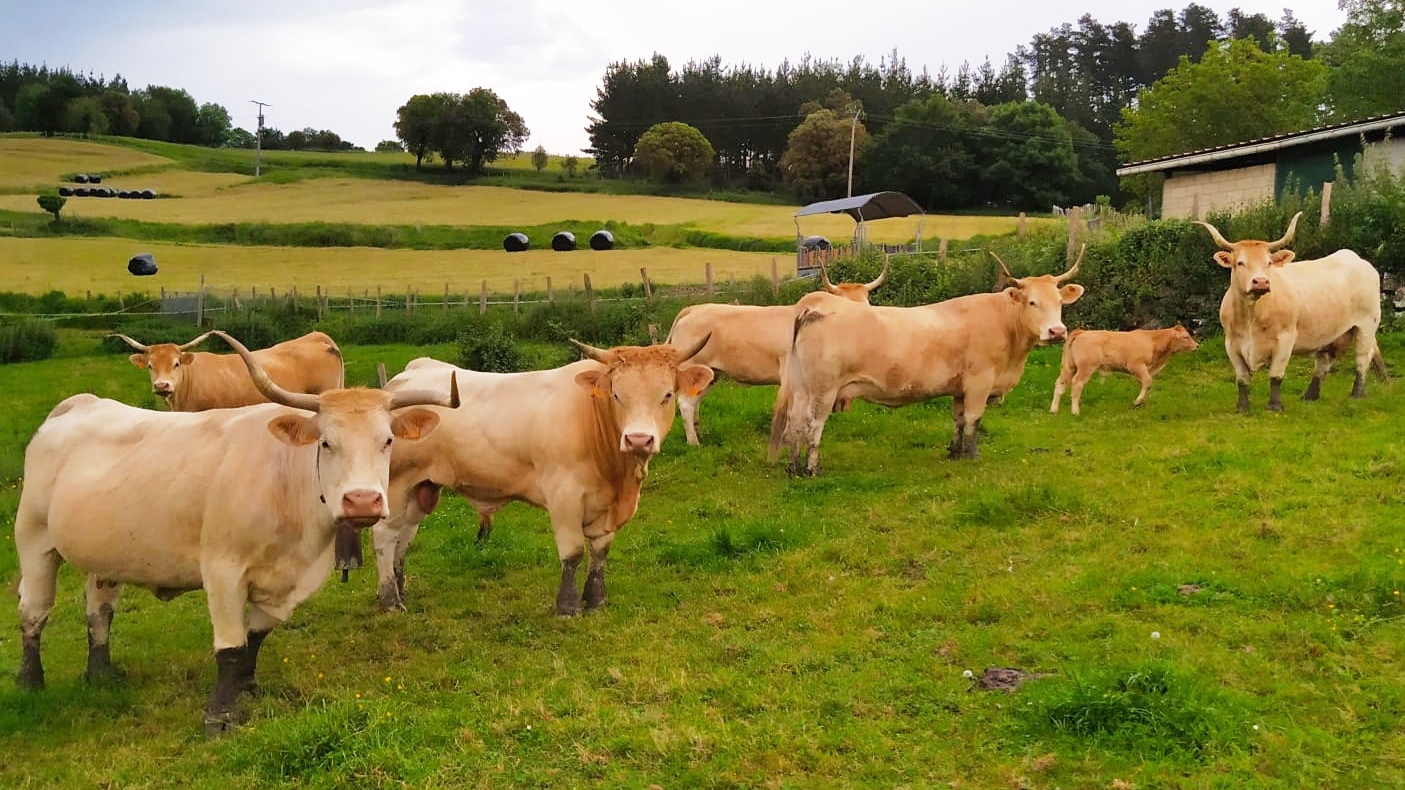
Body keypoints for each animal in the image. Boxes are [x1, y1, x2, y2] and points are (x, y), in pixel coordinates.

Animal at [372, 336, 714, 615]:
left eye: (667, 395)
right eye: (617, 395)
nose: (639, 440)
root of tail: (407, 376)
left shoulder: (607, 507)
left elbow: (600, 551)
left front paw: (596, 600)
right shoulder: (564, 496)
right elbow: (573, 552)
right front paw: (568, 606)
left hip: (421, 488)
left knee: (404, 535)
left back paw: (400, 589)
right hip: (395, 484)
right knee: (385, 536)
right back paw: (390, 600)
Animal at [665, 260, 886, 445]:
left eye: (866, 304)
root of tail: (693, 309)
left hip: (712, 374)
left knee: (694, 403)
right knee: (685, 404)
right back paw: (694, 443)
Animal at [770, 248, 1084, 474]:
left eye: (1059, 301)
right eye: (1032, 302)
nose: (1057, 332)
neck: (1005, 325)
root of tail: (814, 305)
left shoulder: (960, 389)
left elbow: (958, 420)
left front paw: (955, 453)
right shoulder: (979, 382)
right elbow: (974, 419)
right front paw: (973, 456)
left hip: (802, 388)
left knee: (794, 425)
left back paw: (793, 468)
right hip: (823, 390)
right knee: (813, 425)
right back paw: (812, 469)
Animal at [1049, 325, 1199, 415]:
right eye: (1186, 336)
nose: (1197, 345)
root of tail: (1082, 332)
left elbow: (1145, 384)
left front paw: (1141, 403)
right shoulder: (1136, 365)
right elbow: (1148, 381)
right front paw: (1138, 401)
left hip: (1070, 366)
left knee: (1060, 383)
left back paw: (1054, 410)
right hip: (1085, 367)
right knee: (1077, 384)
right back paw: (1075, 411)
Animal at [1196, 211, 1384, 412]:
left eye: (1269, 263)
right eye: (1240, 263)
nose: (1261, 282)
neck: (1252, 314)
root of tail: (1356, 259)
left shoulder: (1285, 339)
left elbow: (1276, 375)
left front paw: (1275, 406)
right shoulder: (1231, 343)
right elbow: (1242, 379)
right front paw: (1242, 408)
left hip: (1367, 325)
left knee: (1362, 359)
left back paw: (1356, 394)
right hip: (1333, 333)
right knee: (1324, 361)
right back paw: (1310, 396)